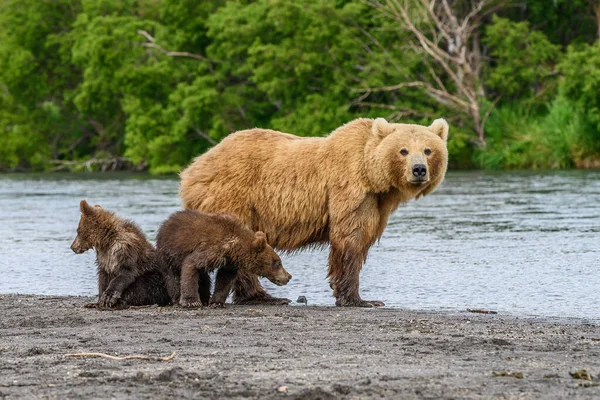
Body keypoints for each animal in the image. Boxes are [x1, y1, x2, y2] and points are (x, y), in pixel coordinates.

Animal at [180, 117, 448, 308]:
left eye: (428, 150)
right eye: (403, 150)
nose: (419, 169)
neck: (374, 178)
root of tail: (193, 167)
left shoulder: (376, 203)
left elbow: (361, 239)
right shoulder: (348, 190)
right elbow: (350, 240)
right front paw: (360, 299)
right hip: (234, 196)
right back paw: (265, 296)